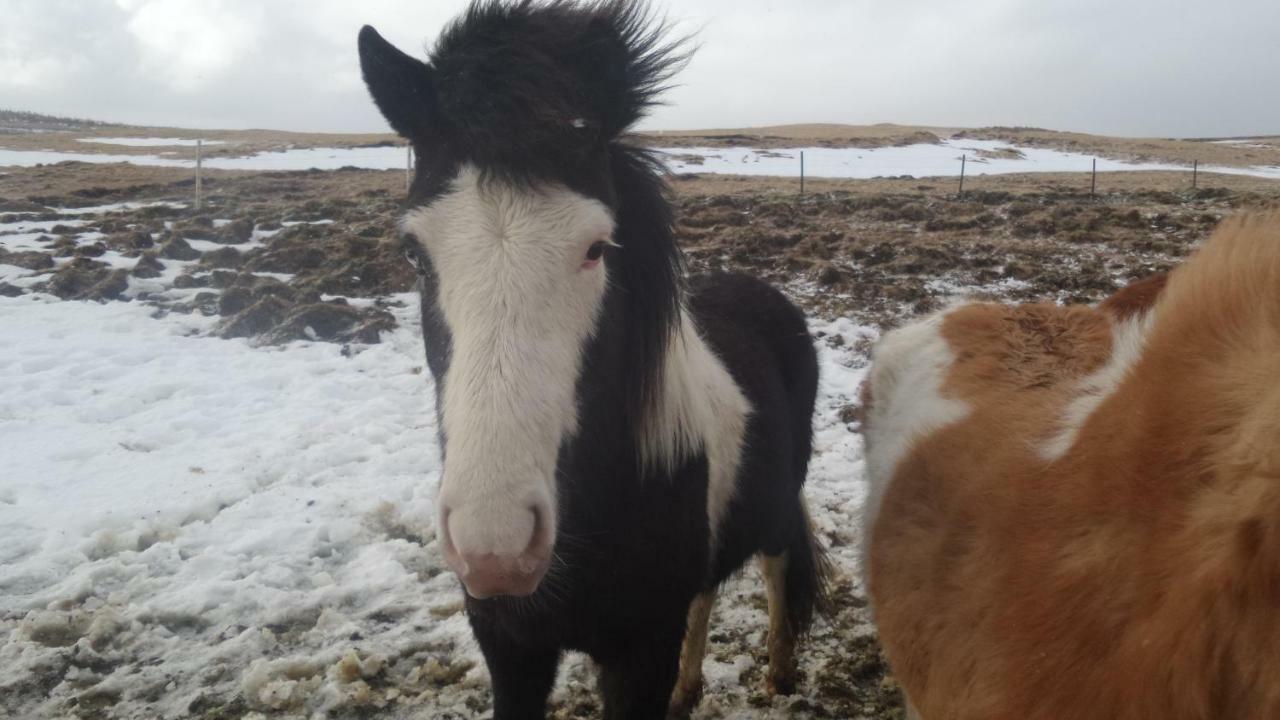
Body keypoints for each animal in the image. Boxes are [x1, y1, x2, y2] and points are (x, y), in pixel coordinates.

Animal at [358, 2, 829, 712]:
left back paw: (778, 672)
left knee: (775, 567)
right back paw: (689, 689)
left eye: (597, 247)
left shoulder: (638, 655)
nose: (496, 548)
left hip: (776, 503)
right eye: (414, 251)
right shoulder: (511, 650)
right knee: (706, 593)